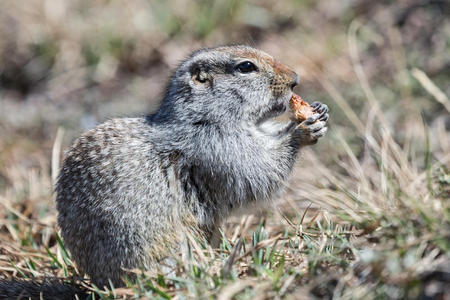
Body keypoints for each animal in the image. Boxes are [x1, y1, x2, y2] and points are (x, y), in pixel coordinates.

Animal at [56, 45, 328, 288]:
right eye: (246, 67)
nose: (295, 79)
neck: (203, 116)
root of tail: (101, 281)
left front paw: (319, 111)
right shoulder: (216, 146)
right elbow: (256, 170)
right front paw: (300, 132)